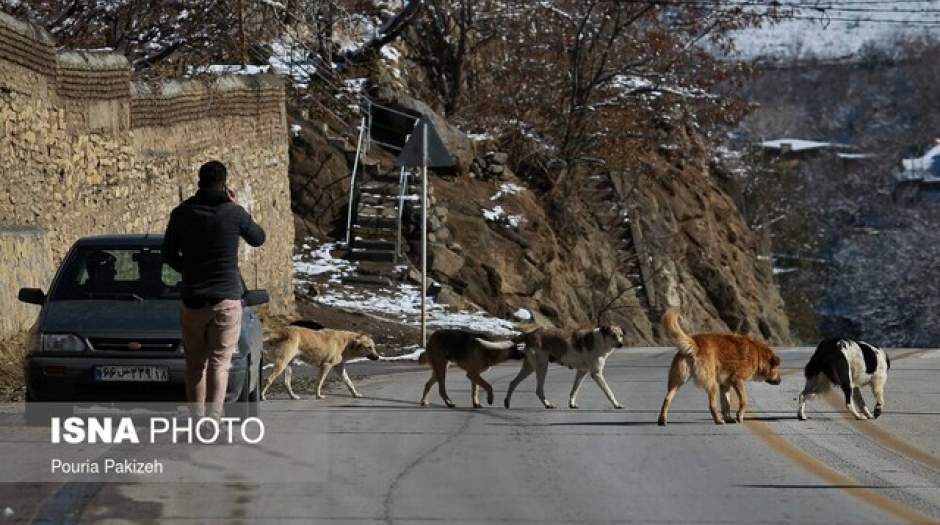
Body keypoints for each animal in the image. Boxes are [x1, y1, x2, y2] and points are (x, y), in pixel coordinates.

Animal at [656, 308, 784, 426]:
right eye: (777, 369)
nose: (780, 381)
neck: (757, 355)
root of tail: (695, 343)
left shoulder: (725, 385)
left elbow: (726, 405)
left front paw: (729, 418)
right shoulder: (737, 380)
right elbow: (744, 401)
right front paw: (739, 416)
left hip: (677, 381)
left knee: (667, 399)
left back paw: (662, 420)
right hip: (712, 384)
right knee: (712, 405)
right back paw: (718, 420)